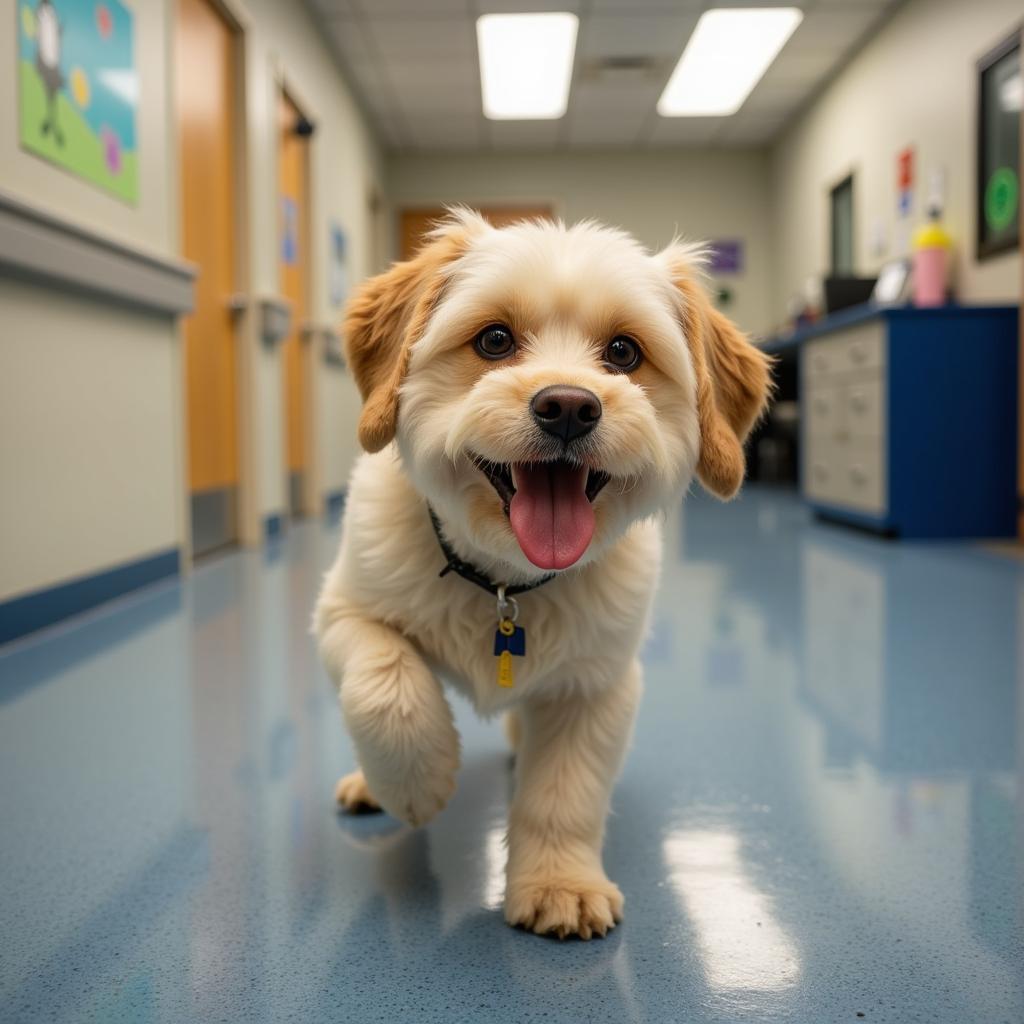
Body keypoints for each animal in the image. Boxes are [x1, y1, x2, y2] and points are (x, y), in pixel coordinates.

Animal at [311, 211, 770, 937]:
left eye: (624, 352)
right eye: (494, 340)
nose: (569, 407)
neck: (505, 583)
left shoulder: (597, 684)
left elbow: (565, 791)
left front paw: (560, 883)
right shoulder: (343, 613)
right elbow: (387, 688)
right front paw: (417, 785)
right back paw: (371, 785)